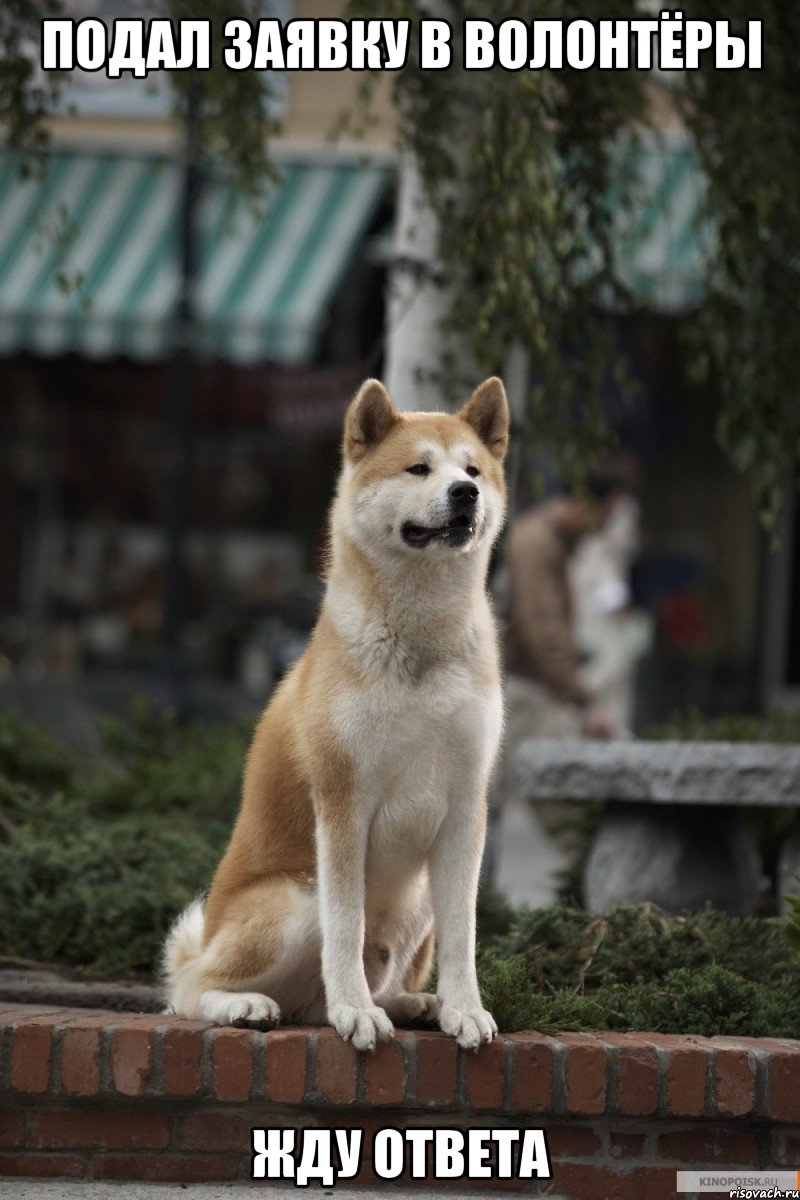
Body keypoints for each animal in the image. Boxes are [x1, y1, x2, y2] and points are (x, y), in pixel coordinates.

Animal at [165, 376, 510, 1051]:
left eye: (473, 470)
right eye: (418, 468)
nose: (466, 493)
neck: (420, 644)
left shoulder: (466, 807)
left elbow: (465, 935)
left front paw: (464, 1008)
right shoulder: (343, 801)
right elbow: (346, 928)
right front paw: (355, 1011)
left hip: (417, 900)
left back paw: (415, 1004)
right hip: (296, 900)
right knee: (189, 990)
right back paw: (250, 1005)